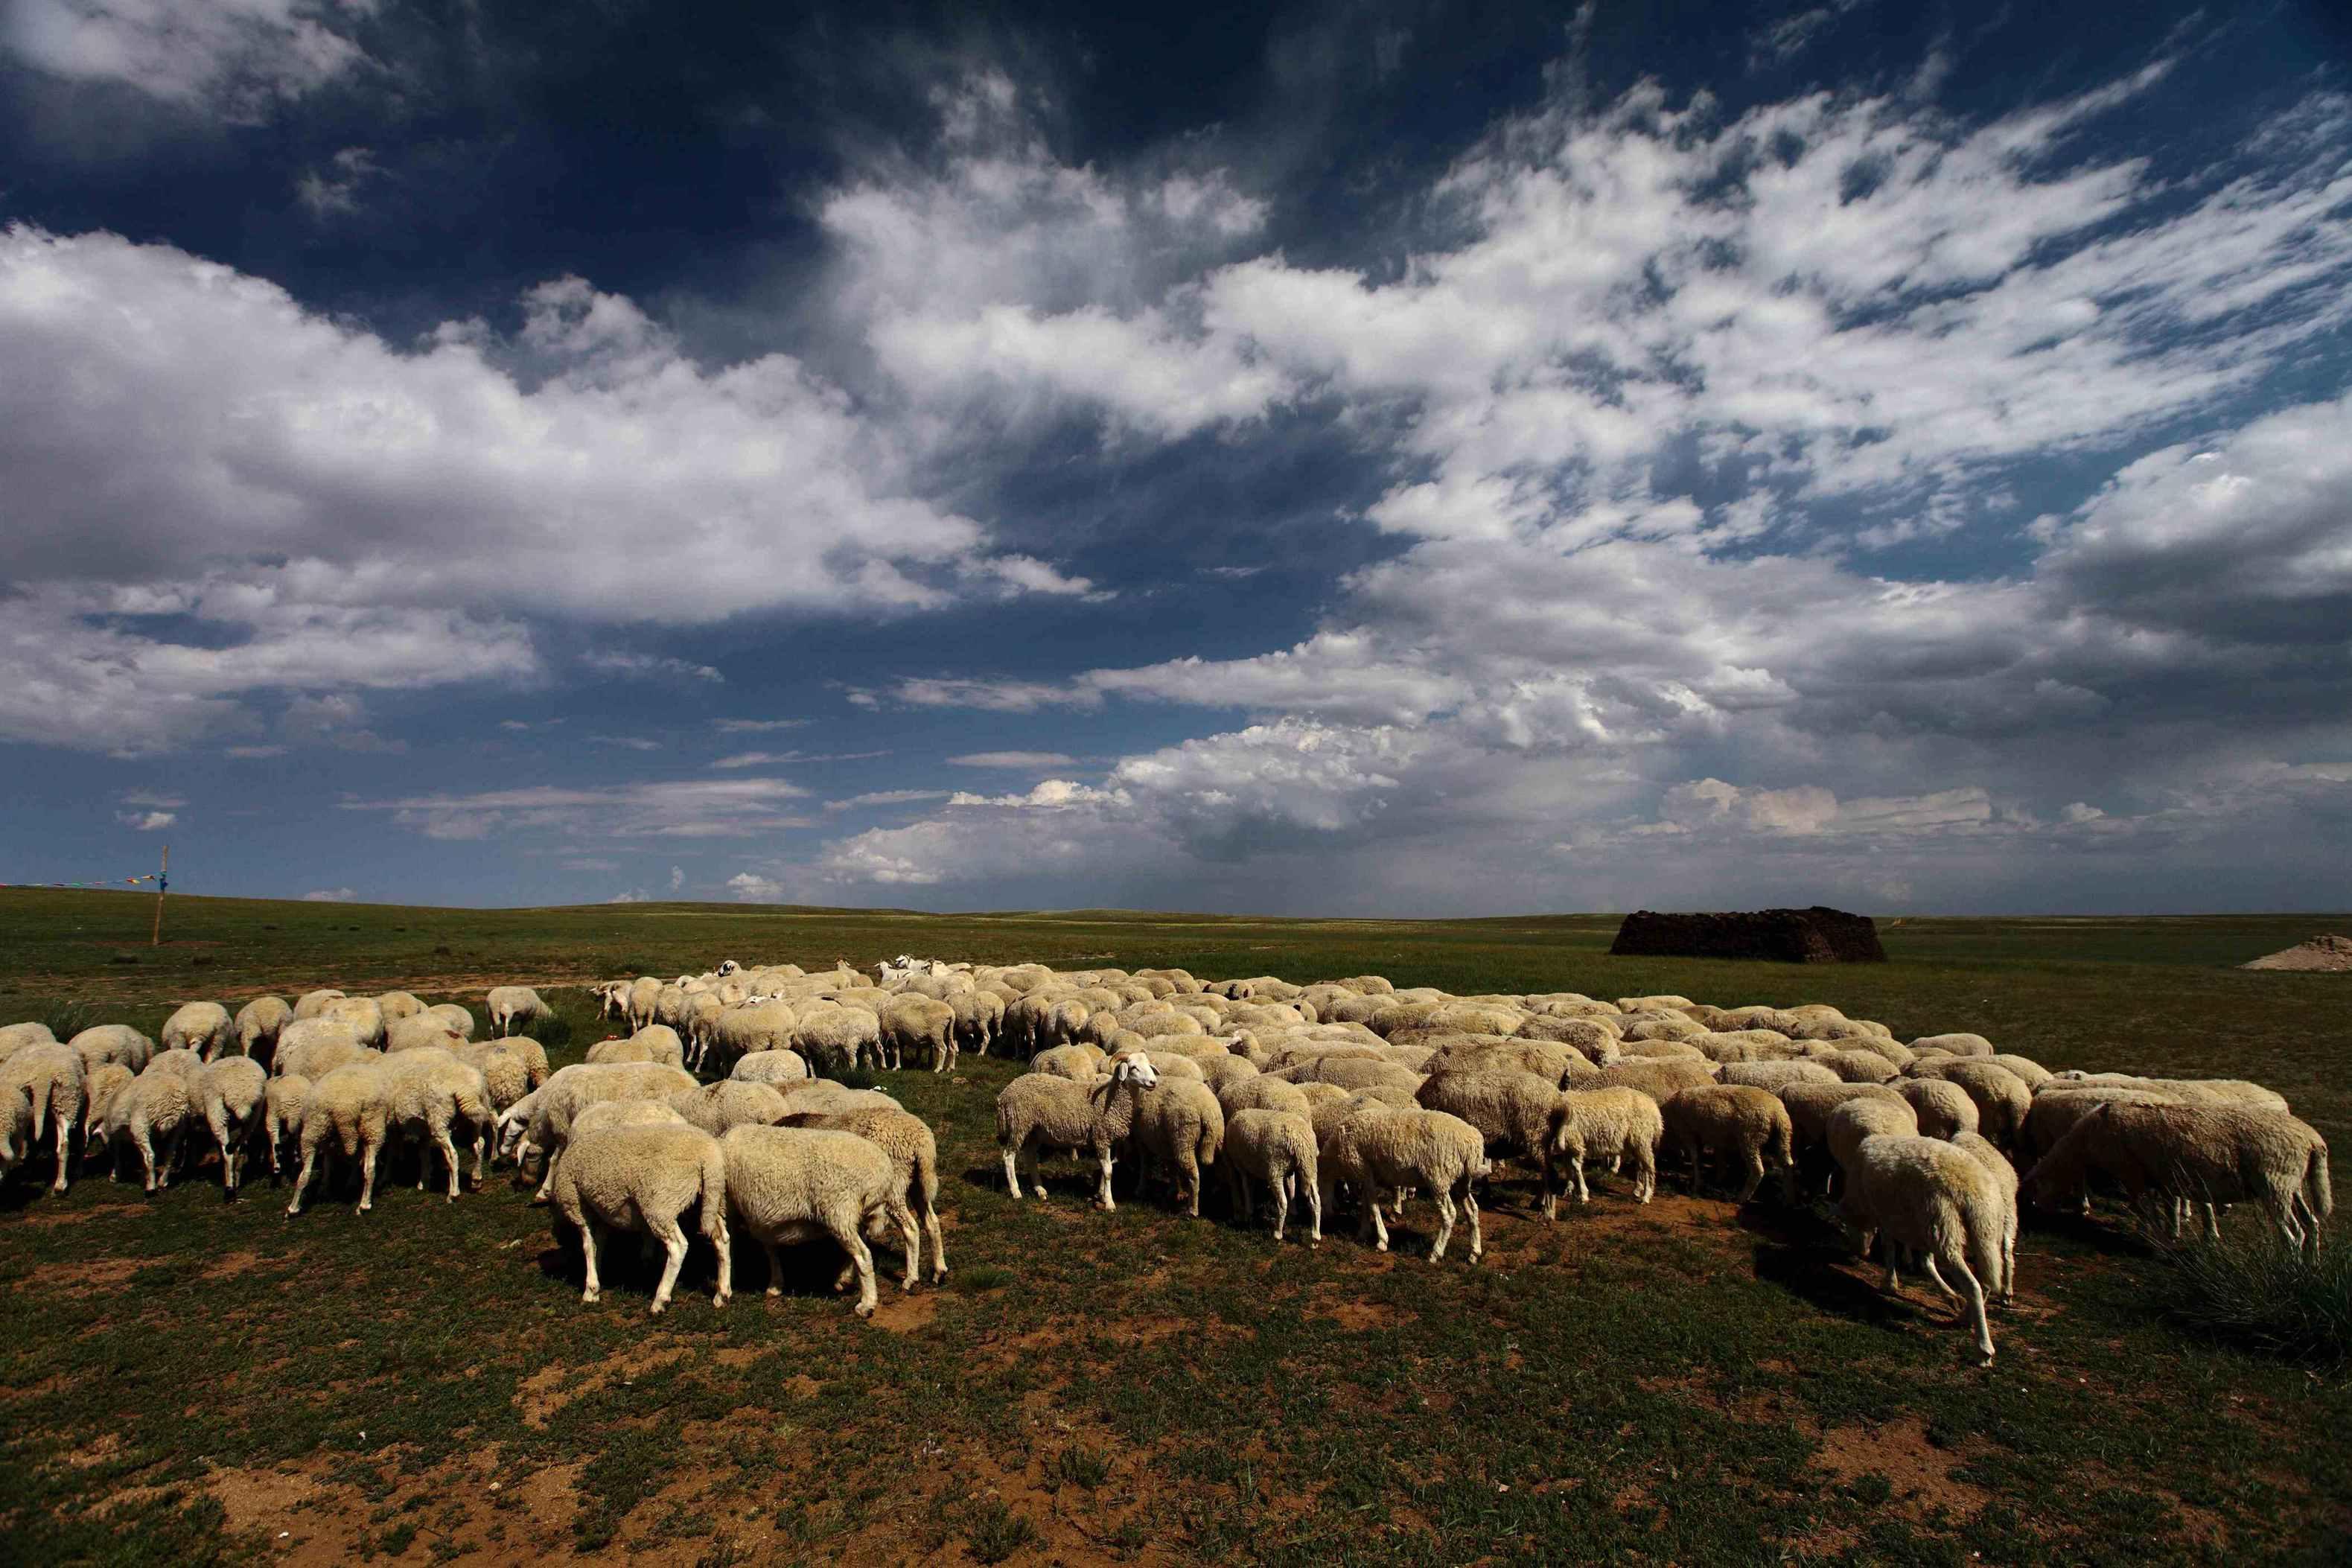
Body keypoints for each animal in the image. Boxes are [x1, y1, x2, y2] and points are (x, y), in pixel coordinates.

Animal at [552, 1124, 729, 1316]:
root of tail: (709, 1157)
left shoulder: (578, 1204)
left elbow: (588, 1246)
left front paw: (591, 1290)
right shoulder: (601, 1212)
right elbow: (598, 1244)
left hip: (661, 1203)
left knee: (678, 1246)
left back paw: (660, 1300)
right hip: (708, 1200)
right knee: (722, 1239)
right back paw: (722, 1293)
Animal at [1232, 1109, 1326, 1241]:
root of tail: (1300, 1139)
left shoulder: (1241, 1165)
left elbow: (1246, 1187)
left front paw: (1248, 1213)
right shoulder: (1288, 1171)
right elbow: (1292, 1188)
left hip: (1275, 1168)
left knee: (1282, 1202)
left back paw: (1277, 1233)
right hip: (1309, 1166)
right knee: (1316, 1200)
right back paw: (1315, 1237)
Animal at [1665, 1086, 1787, 1213]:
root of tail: (1776, 1112)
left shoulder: (1688, 1132)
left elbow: (1696, 1159)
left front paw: (1697, 1185)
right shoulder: (1714, 1137)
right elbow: (1718, 1158)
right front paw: (1718, 1179)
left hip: (1750, 1139)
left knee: (1757, 1171)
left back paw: (1742, 1198)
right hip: (1782, 1138)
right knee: (1787, 1166)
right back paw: (1786, 1199)